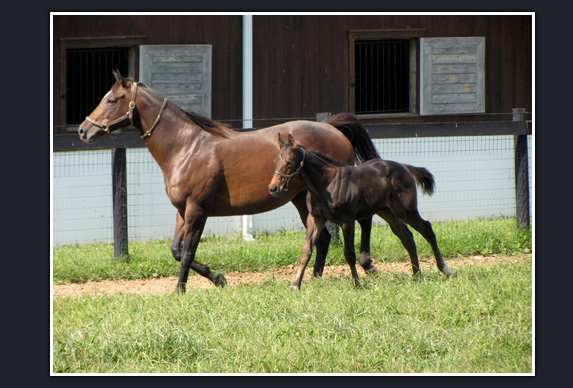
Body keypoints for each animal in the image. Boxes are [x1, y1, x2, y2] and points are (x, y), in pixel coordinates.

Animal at [268, 133, 452, 288]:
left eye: (289, 162)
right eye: (277, 161)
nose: (273, 188)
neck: (326, 184)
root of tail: (404, 167)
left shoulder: (347, 221)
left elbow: (349, 253)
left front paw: (357, 284)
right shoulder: (315, 218)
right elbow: (306, 251)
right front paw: (295, 285)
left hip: (406, 210)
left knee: (427, 229)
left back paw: (445, 270)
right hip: (387, 212)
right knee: (407, 237)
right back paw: (416, 274)